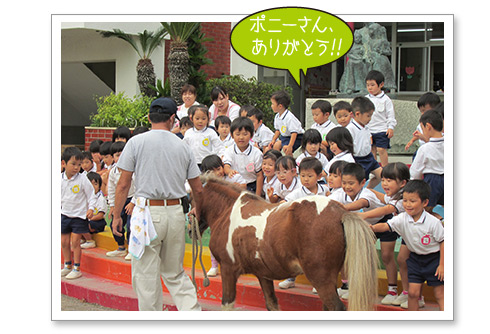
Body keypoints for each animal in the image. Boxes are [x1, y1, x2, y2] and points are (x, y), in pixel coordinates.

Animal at [195, 176, 378, 312]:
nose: (192, 229)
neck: (227, 211)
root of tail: (340, 213)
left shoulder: (228, 269)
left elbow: (227, 304)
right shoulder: (263, 274)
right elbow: (272, 304)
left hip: (321, 278)